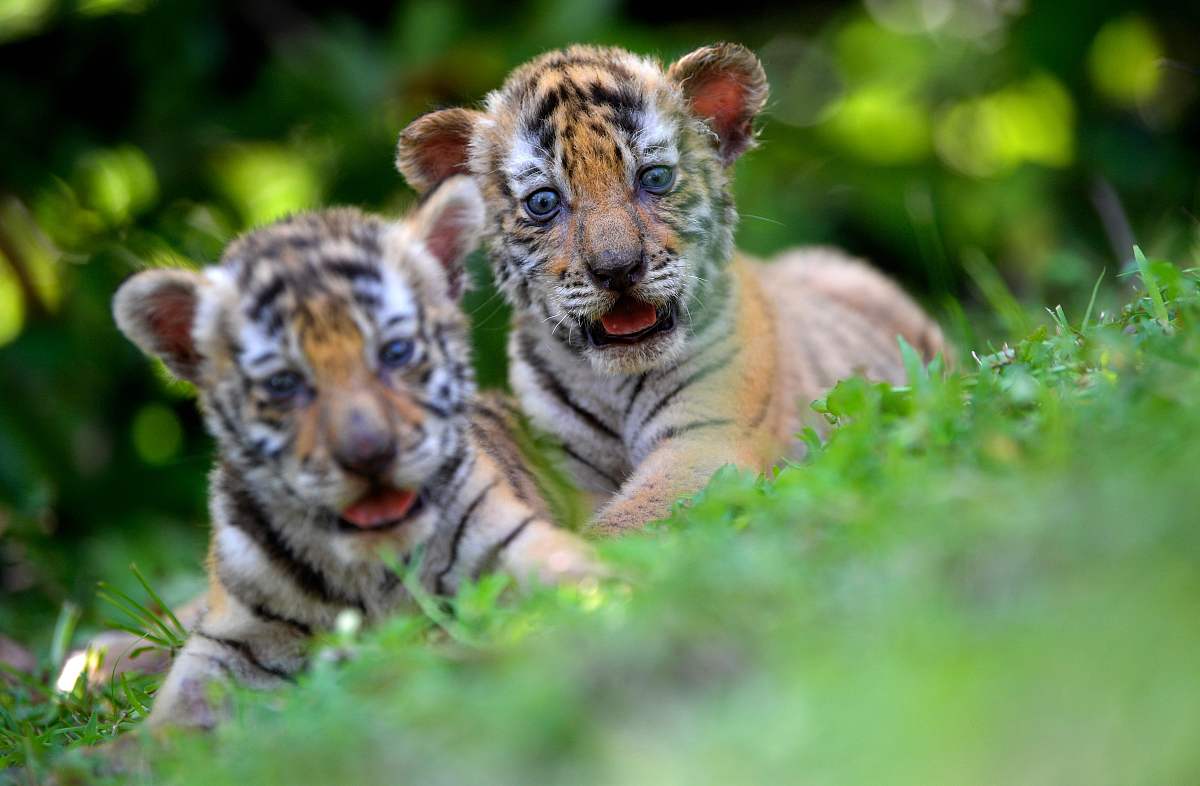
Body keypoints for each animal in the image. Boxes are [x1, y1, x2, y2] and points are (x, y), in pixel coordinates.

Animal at [110, 176, 595, 729]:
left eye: (396, 352)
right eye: (283, 383)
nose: (369, 454)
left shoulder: (514, 544)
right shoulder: (232, 634)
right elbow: (178, 707)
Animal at [395, 43, 946, 536]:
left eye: (654, 177)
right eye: (544, 202)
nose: (617, 269)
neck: (613, 384)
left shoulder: (706, 441)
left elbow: (623, 524)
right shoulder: (565, 470)